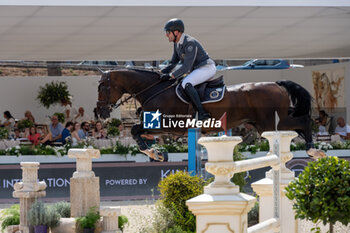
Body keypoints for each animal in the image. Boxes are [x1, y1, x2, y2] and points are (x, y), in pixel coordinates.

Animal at [95, 68, 322, 161]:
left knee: (303, 121)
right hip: (267, 123)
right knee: (299, 125)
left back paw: (313, 150)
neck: (155, 90)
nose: (100, 112)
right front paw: (155, 152)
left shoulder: (167, 124)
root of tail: (277, 84)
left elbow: (135, 130)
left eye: (103, 87)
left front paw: (153, 153)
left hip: (271, 123)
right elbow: (139, 132)